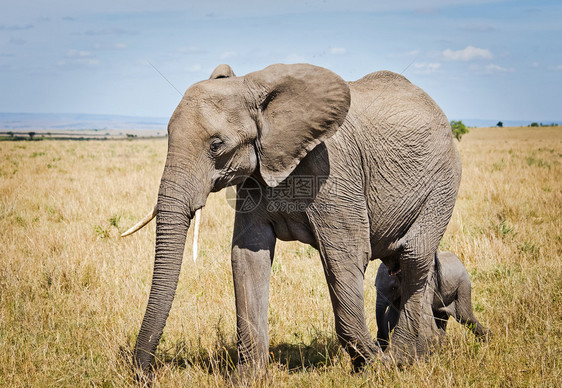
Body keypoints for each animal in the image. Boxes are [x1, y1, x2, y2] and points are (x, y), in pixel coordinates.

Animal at [127, 63, 460, 376]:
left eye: (216, 145)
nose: (145, 374)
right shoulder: (254, 177)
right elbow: (247, 256)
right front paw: (247, 378)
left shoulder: (333, 172)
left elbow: (345, 257)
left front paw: (374, 365)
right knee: (407, 263)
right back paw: (424, 352)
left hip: (443, 181)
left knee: (413, 256)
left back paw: (401, 358)